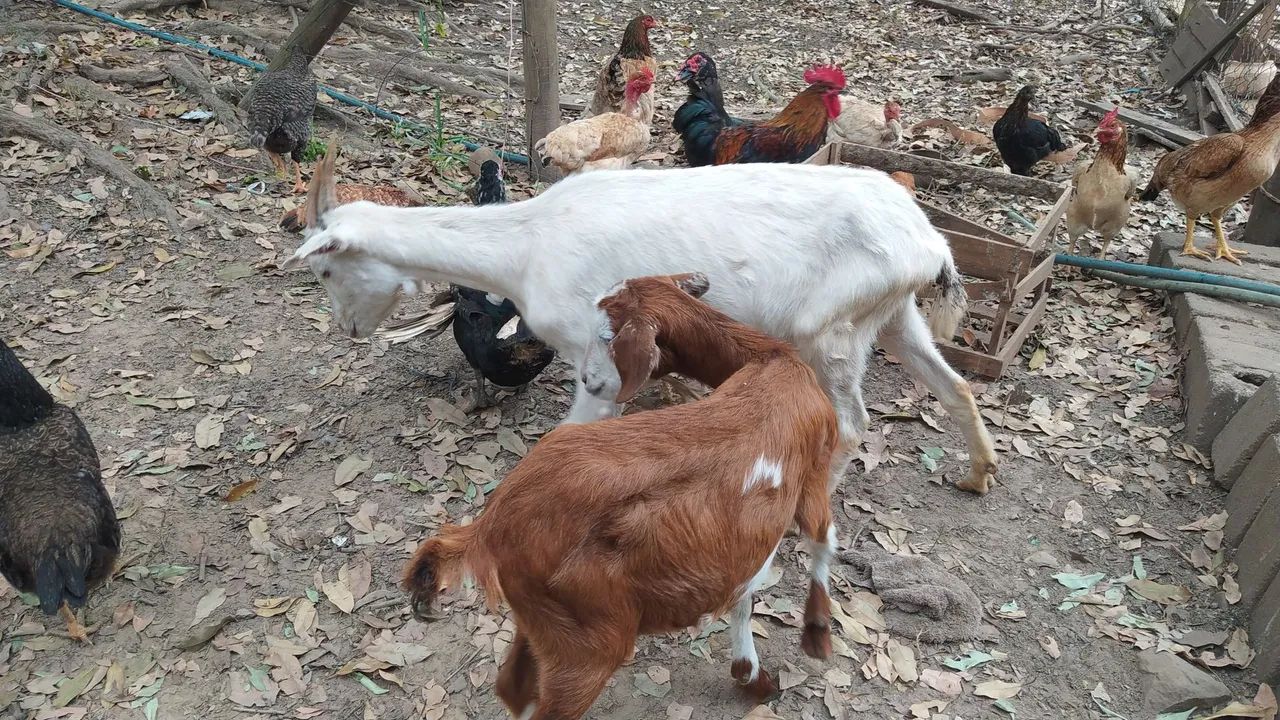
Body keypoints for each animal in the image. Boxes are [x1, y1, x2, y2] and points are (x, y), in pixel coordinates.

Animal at [283, 143, 999, 495]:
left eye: (323, 271)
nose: (348, 330)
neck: (524, 246)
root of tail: (931, 245)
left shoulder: (594, 355)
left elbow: (569, 436)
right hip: (894, 314)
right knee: (956, 386)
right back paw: (975, 475)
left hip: (830, 332)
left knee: (853, 424)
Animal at [403, 273, 840, 720]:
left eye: (607, 338)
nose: (589, 382)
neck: (767, 361)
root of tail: (491, 527)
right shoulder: (815, 471)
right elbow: (822, 541)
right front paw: (815, 635)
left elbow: (745, 589)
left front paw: (750, 674)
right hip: (587, 643)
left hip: (543, 619)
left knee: (512, 687)